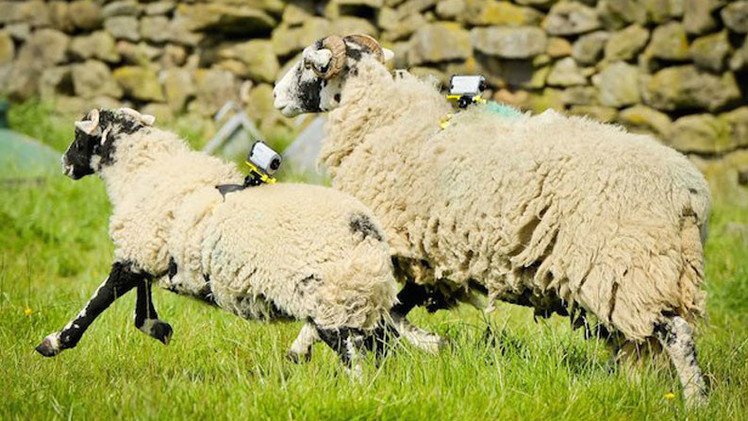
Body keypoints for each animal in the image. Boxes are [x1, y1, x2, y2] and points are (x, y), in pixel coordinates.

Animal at [34, 107, 404, 373]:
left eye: (77, 135)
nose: (64, 164)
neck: (143, 171)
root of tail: (368, 230)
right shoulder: (148, 251)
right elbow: (142, 299)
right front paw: (158, 328)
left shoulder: (136, 252)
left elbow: (98, 301)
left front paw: (54, 342)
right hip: (360, 302)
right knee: (385, 351)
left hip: (333, 303)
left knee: (356, 362)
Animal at [273, 34, 712, 404]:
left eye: (309, 64)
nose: (276, 96)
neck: (383, 121)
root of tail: (690, 191)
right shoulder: (430, 262)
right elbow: (390, 309)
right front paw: (302, 350)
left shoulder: (391, 246)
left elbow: (371, 309)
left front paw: (424, 342)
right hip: (653, 272)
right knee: (642, 340)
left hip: (631, 265)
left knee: (677, 334)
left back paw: (695, 401)